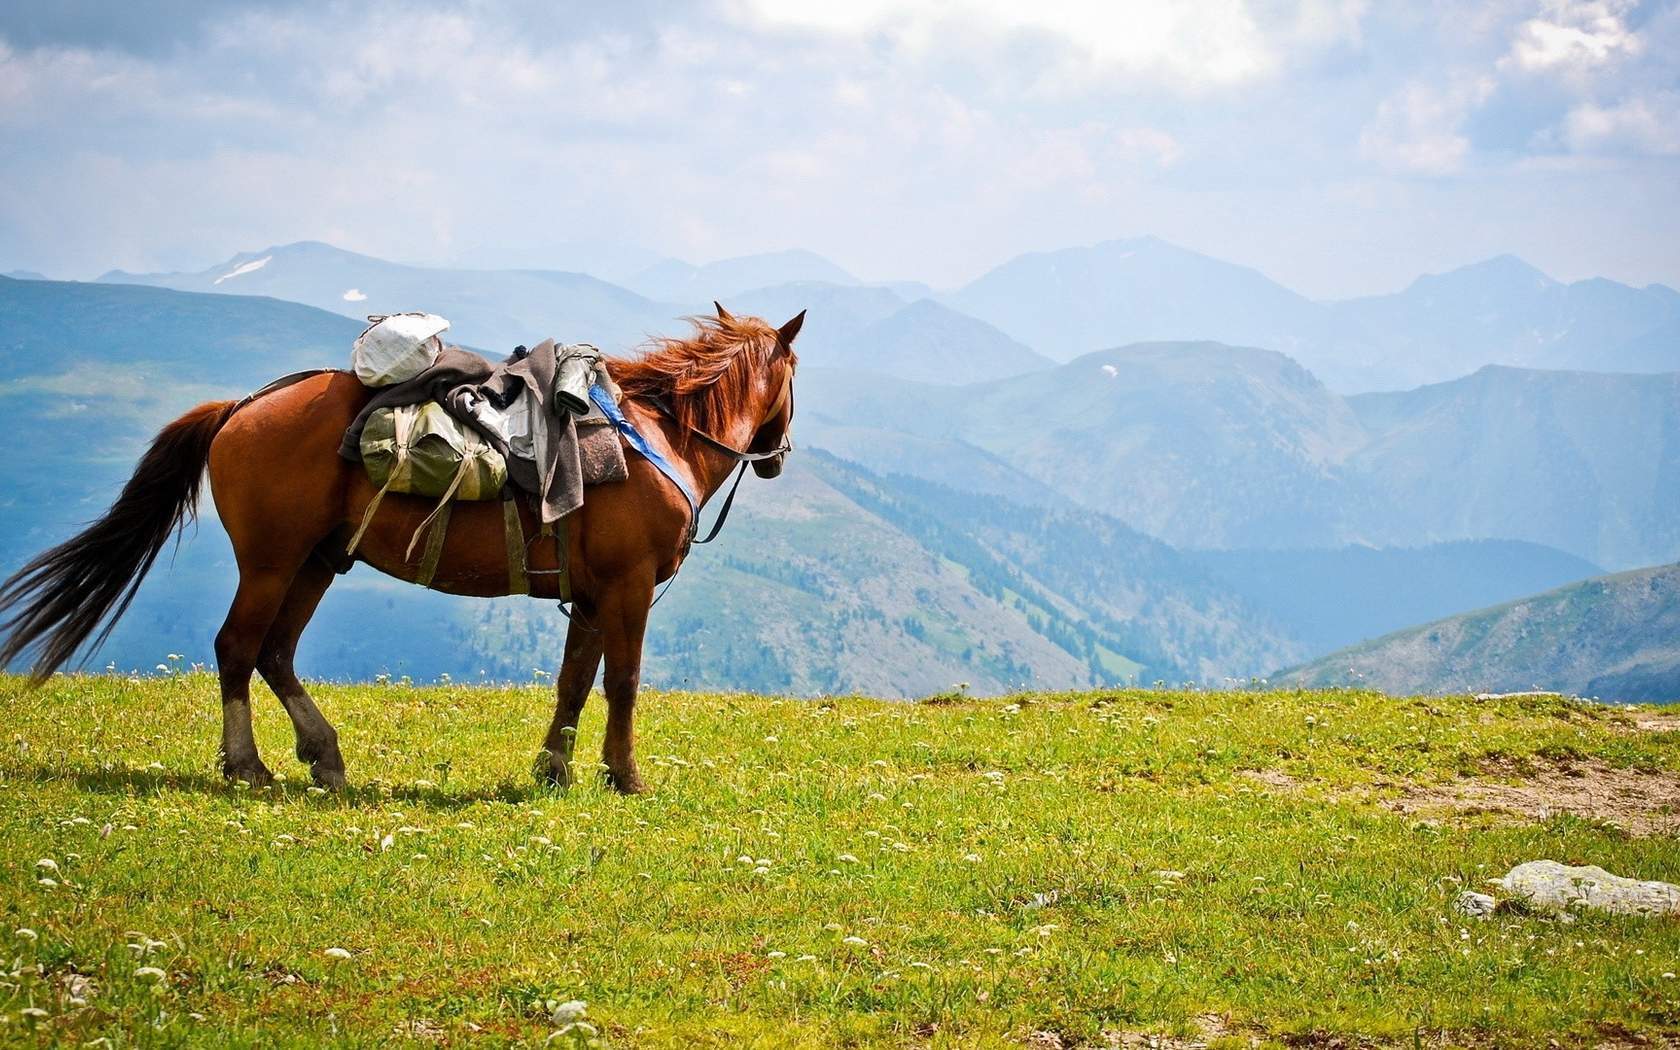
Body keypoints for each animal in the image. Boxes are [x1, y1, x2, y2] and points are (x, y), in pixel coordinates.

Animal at [0, 303, 802, 795]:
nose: (776, 458)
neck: (661, 439)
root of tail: (238, 409)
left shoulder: (591, 597)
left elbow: (574, 682)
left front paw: (553, 771)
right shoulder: (627, 587)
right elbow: (623, 683)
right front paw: (623, 776)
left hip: (318, 561)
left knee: (275, 653)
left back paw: (324, 757)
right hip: (271, 562)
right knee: (237, 647)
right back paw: (248, 765)